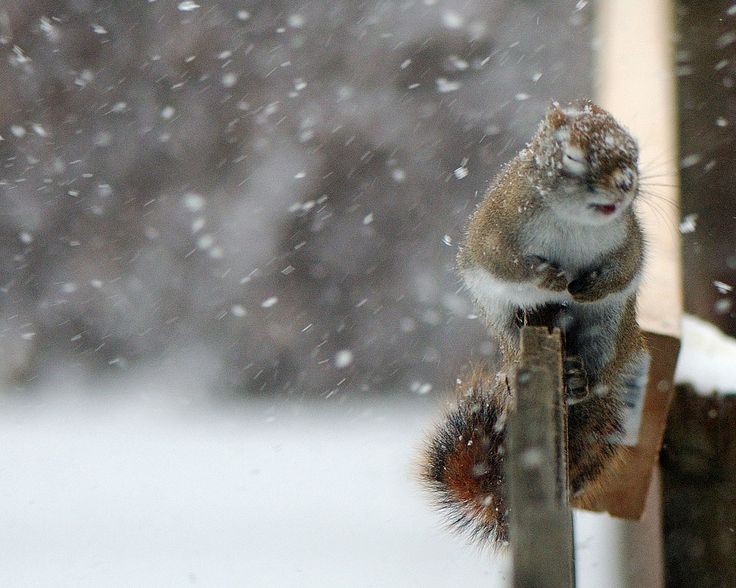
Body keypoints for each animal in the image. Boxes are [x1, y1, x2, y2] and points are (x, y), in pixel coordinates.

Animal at [420, 100, 648, 548]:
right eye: (573, 156)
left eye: (633, 153)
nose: (625, 183)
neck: (576, 222)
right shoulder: (497, 230)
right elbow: (505, 263)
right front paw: (551, 278)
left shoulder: (628, 239)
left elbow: (626, 268)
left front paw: (588, 286)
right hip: (502, 318)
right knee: (512, 341)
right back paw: (516, 369)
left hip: (610, 331)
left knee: (597, 371)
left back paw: (578, 379)